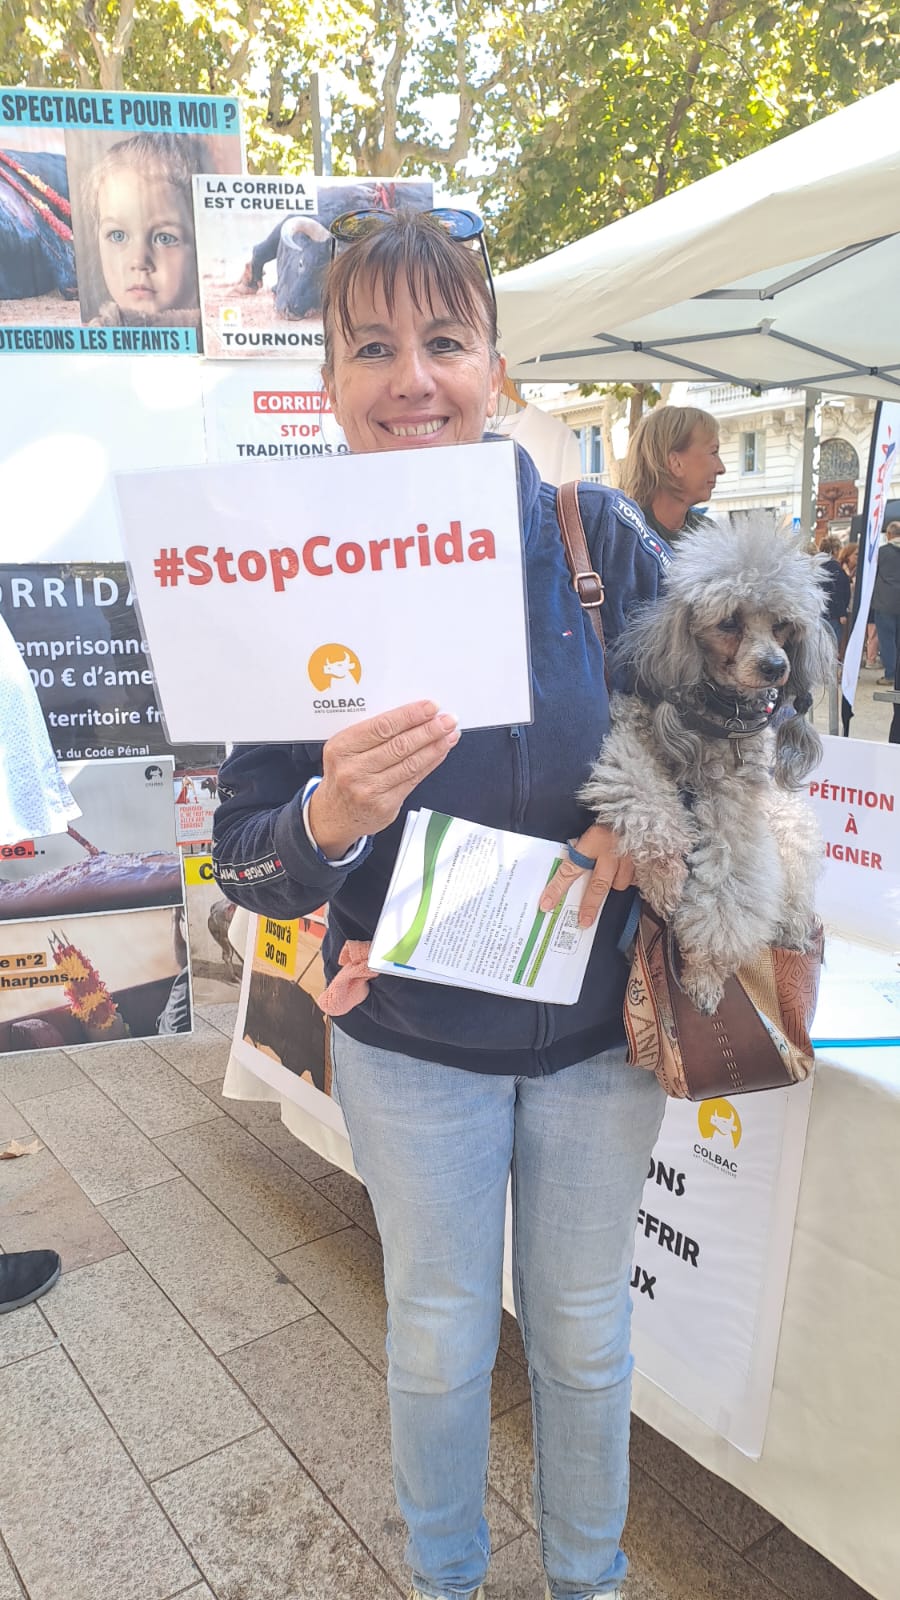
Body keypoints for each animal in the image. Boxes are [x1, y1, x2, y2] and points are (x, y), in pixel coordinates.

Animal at [580, 520, 835, 1014]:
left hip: (788, 825)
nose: (775, 666)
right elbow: (645, 802)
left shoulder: (734, 800)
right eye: (729, 621)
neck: (718, 712)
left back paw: (794, 931)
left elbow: (730, 887)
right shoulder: (633, 734)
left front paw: (704, 973)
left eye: (783, 625)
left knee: (794, 889)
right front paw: (664, 876)